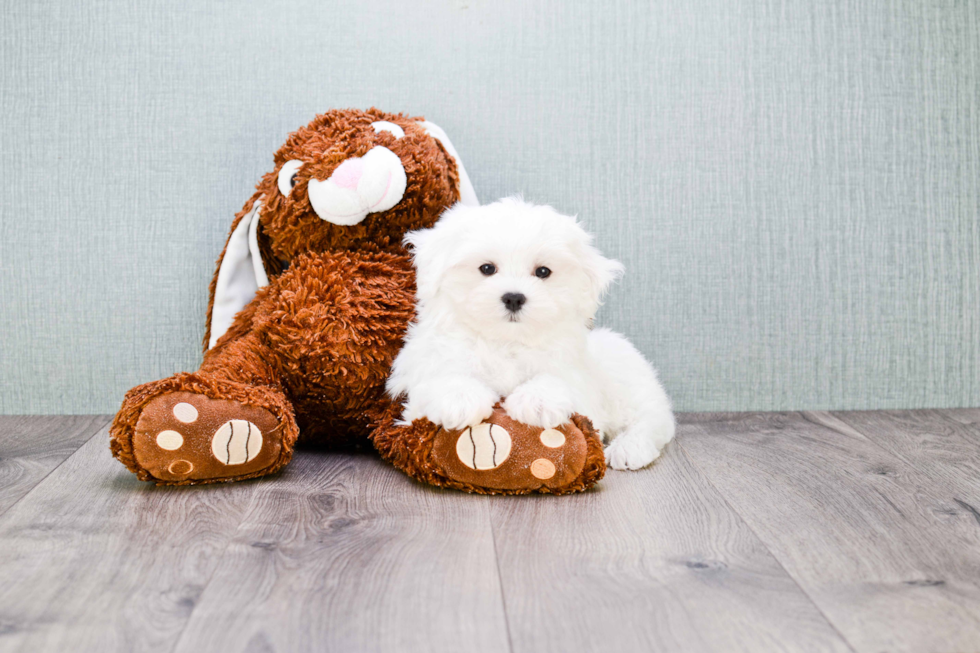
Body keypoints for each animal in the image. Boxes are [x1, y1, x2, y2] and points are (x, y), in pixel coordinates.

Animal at [386, 197, 676, 468]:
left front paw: (537, 401)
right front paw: (459, 399)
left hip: (628, 381)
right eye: (487, 268)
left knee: (653, 419)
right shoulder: (426, 370)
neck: (506, 341)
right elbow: (442, 379)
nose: (514, 298)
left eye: (543, 272)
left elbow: (559, 381)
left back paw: (628, 448)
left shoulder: (579, 381)